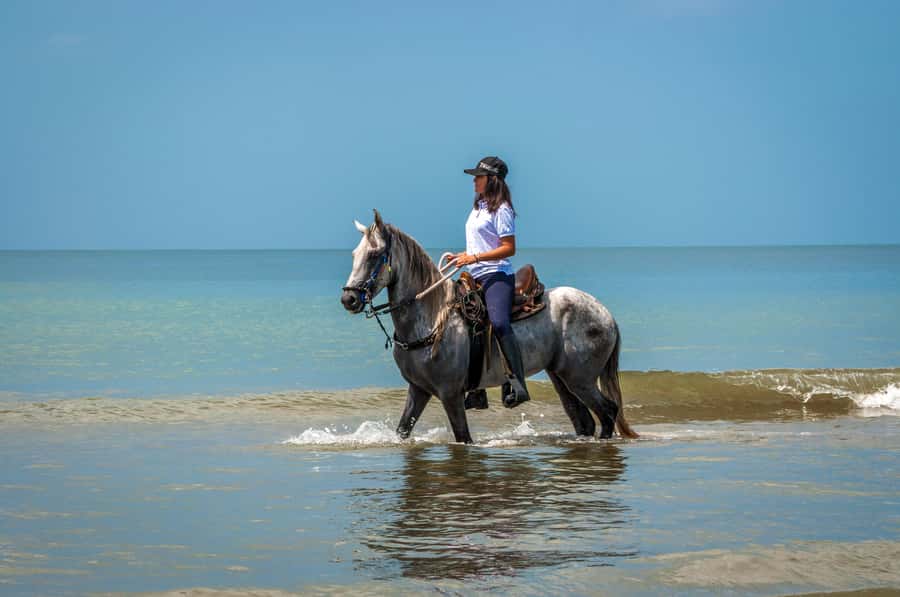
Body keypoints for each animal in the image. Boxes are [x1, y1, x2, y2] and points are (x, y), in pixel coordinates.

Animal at [340, 210, 638, 444]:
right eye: (355, 254)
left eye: (375, 254)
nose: (348, 299)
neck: (432, 320)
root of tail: (606, 314)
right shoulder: (419, 389)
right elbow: (403, 430)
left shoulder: (450, 394)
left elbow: (463, 437)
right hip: (561, 378)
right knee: (584, 421)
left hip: (580, 379)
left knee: (608, 412)